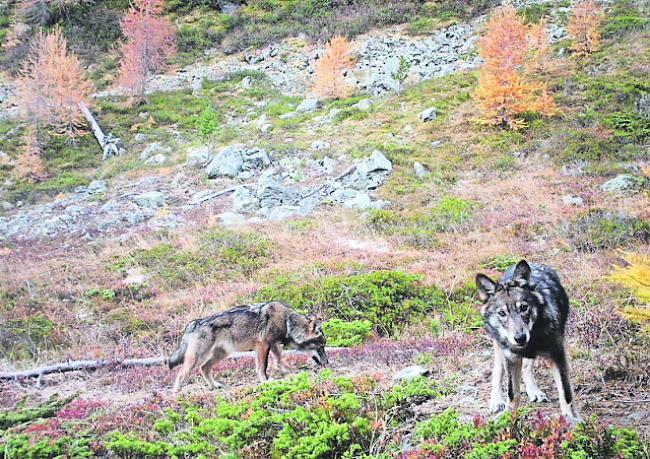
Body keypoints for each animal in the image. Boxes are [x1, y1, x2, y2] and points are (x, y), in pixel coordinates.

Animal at [168, 302, 330, 396]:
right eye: (321, 346)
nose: (327, 363)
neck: (287, 321)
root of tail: (194, 323)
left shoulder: (273, 345)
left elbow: (279, 361)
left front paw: (287, 372)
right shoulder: (262, 345)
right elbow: (262, 367)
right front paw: (266, 382)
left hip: (220, 355)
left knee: (204, 369)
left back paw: (214, 386)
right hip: (198, 358)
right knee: (181, 374)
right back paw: (176, 394)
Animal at [474, 260, 580, 422]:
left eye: (524, 307)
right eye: (502, 313)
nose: (520, 338)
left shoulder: (557, 356)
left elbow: (565, 392)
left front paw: (570, 418)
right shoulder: (511, 358)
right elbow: (512, 394)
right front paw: (507, 419)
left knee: (526, 368)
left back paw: (534, 392)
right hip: (499, 348)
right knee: (497, 370)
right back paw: (496, 401)